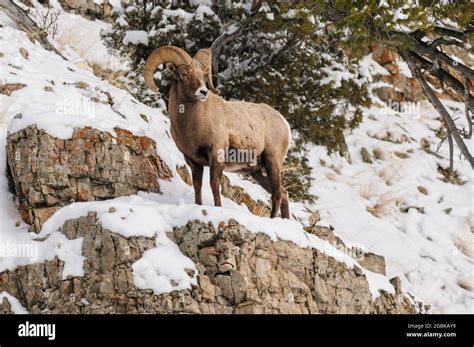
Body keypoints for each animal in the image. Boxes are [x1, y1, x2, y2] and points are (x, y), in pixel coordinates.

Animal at [144, 46, 292, 219]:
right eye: (183, 74)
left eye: (203, 75)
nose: (203, 92)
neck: (192, 126)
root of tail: (284, 123)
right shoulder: (193, 161)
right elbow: (197, 186)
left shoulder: (216, 155)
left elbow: (214, 185)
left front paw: (218, 209)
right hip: (256, 171)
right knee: (283, 193)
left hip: (272, 162)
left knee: (277, 194)